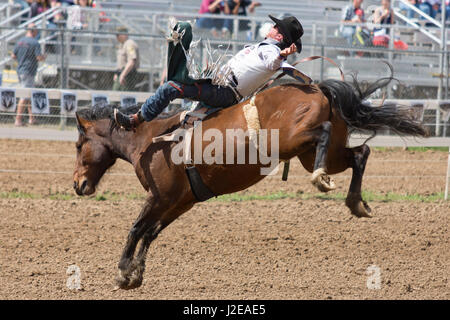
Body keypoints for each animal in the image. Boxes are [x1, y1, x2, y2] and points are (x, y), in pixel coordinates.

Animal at [73, 73, 426, 290]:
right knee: (361, 153)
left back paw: (322, 181)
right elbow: (151, 233)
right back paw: (354, 202)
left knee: (329, 136)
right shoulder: (180, 202)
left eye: (78, 146)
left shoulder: (160, 197)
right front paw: (135, 275)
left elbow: (136, 228)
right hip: (314, 153)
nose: (78, 184)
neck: (149, 141)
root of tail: (318, 88)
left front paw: (122, 273)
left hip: (296, 140)